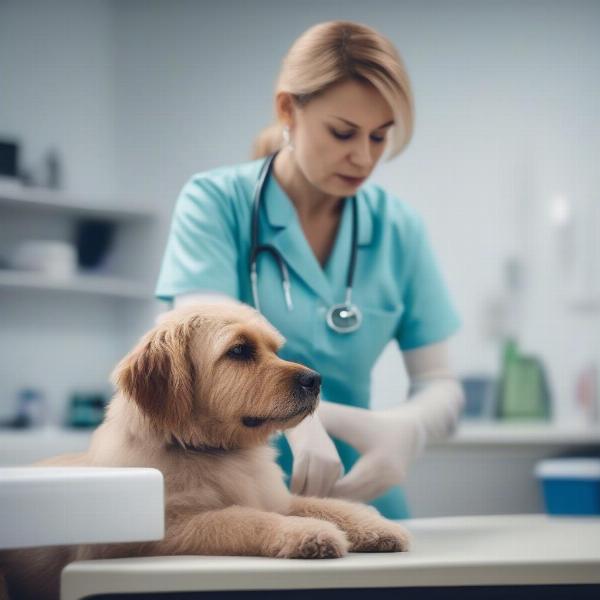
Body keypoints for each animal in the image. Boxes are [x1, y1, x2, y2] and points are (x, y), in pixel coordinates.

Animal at [0, 304, 410, 600]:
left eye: (274, 350)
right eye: (240, 351)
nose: (316, 380)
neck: (211, 451)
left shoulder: (276, 498)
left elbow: (324, 504)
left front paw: (375, 526)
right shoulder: (166, 531)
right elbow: (244, 519)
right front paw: (306, 533)